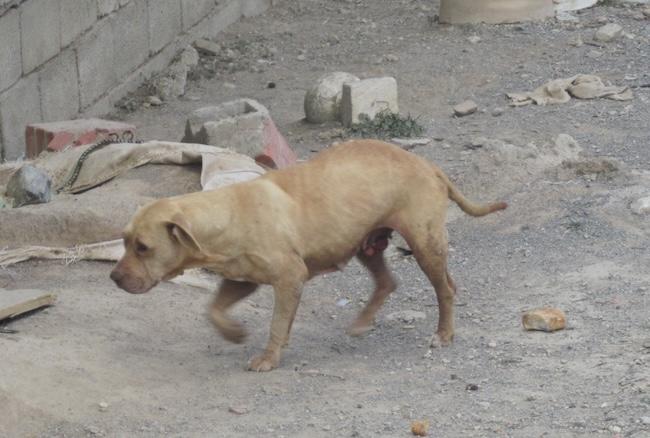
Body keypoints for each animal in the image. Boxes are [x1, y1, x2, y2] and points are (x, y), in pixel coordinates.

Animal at [110, 139, 506, 370]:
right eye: (124, 240)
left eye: (143, 247)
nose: (113, 277)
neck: (226, 214)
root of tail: (428, 165)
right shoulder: (241, 280)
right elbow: (214, 309)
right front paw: (233, 333)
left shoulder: (289, 278)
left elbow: (276, 324)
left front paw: (269, 357)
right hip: (365, 242)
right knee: (387, 282)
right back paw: (362, 322)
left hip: (425, 245)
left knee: (446, 290)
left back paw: (444, 334)